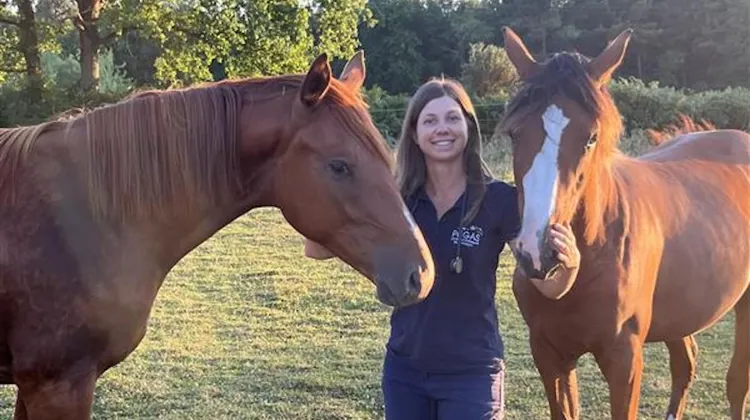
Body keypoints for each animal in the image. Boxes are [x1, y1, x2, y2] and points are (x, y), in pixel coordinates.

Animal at [497, 27, 750, 420]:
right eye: (515, 134)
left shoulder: (624, 360)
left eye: (591, 138)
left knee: (737, 382)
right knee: (685, 365)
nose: (538, 253)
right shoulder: (549, 354)